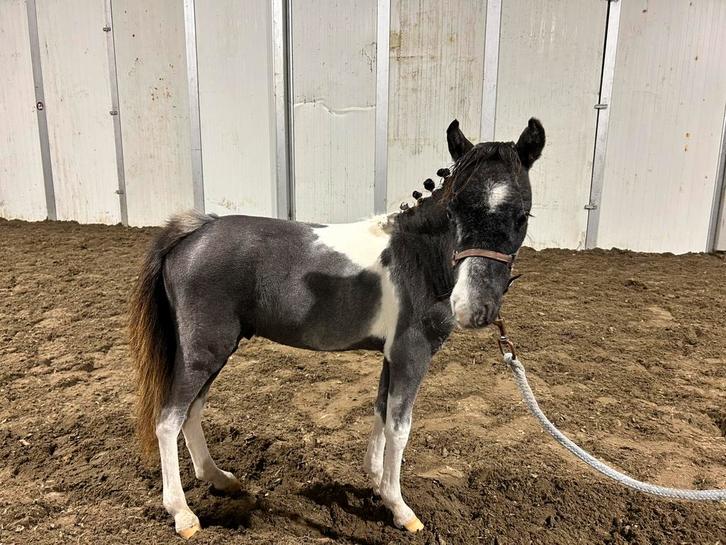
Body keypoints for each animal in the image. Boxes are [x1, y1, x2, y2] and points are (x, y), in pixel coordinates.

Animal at [128, 117, 545, 538]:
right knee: (169, 420)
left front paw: (376, 481)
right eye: (454, 209)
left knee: (192, 412)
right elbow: (400, 427)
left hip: (215, 351)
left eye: (523, 215)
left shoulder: (392, 356)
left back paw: (219, 478)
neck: (418, 259)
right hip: (204, 350)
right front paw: (400, 508)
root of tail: (196, 232)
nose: (474, 308)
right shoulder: (411, 354)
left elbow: (380, 410)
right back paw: (183, 515)